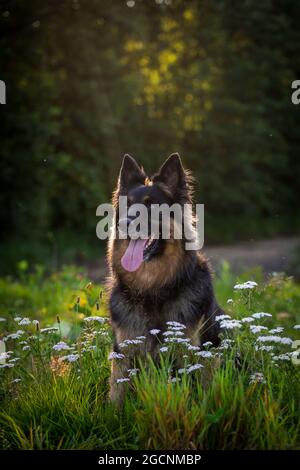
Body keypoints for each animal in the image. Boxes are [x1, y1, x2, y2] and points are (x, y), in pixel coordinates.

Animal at [107, 152, 223, 402]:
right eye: (127, 205)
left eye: (151, 206)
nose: (124, 223)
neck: (154, 290)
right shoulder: (123, 352)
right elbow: (116, 396)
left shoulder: (190, 353)